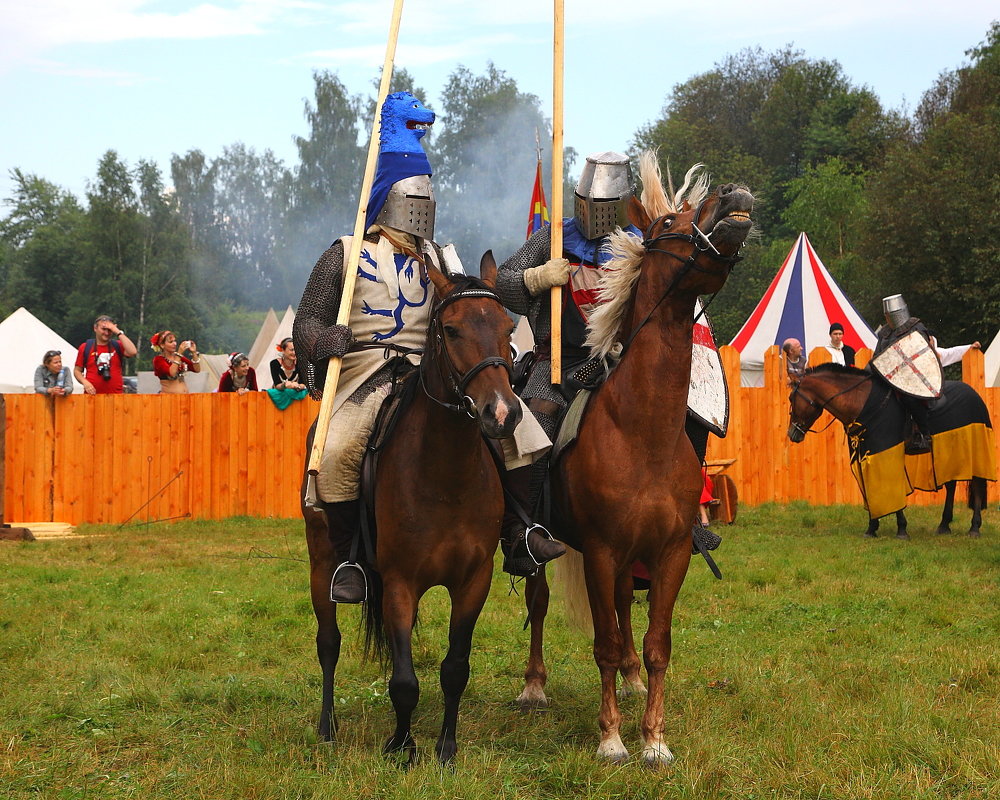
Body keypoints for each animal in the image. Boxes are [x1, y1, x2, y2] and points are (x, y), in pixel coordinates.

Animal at [302, 253, 524, 764]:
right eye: (452, 329)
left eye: (507, 326)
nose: (502, 413)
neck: (446, 477)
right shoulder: (401, 581)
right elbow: (404, 679)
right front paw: (401, 746)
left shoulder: (473, 581)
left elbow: (455, 668)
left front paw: (446, 747)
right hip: (322, 561)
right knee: (329, 643)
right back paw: (327, 726)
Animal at [520, 153, 752, 764]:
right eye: (669, 222)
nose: (733, 193)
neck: (641, 432)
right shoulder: (599, 551)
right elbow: (601, 641)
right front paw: (610, 737)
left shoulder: (670, 554)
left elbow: (656, 644)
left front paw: (654, 738)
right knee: (538, 599)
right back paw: (534, 685)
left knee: (626, 606)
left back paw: (629, 678)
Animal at [788, 362, 992, 536]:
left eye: (791, 398)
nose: (792, 433)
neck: (862, 403)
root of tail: (975, 394)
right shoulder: (865, 454)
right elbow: (870, 488)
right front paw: (872, 527)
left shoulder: (886, 452)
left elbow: (891, 487)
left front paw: (901, 529)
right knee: (951, 484)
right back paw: (944, 525)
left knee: (977, 483)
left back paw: (974, 528)